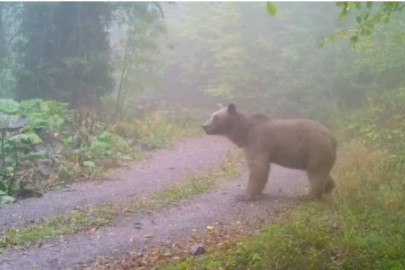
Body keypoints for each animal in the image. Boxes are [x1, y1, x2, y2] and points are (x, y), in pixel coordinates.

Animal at [200, 103, 336, 200]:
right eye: (212, 115)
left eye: (215, 117)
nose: (204, 125)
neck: (244, 134)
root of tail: (332, 137)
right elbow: (263, 170)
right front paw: (259, 191)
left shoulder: (257, 143)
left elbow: (258, 167)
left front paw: (244, 195)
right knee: (322, 173)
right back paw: (329, 187)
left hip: (315, 149)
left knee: (316, 173)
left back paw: (310, 195)